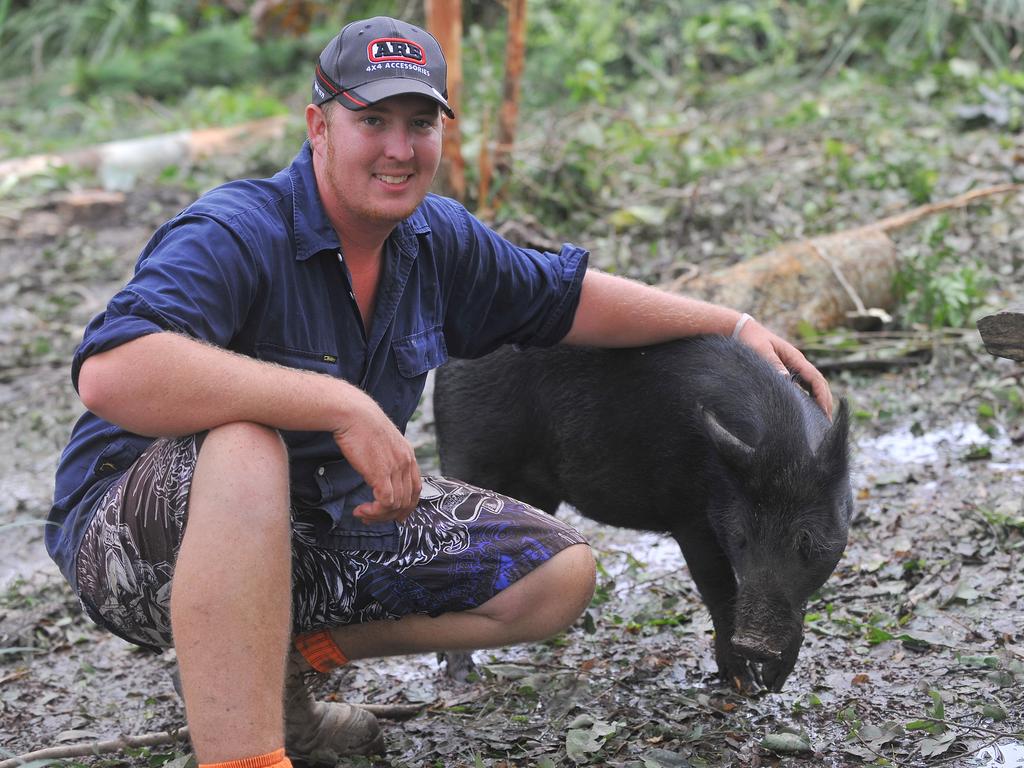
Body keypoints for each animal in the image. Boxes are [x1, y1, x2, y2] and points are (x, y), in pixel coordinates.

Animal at [436, 335, 851, 692]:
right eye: (740, 537)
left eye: (805, 541)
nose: (754, 643)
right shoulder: (689, 518)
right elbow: (717, 589)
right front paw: (744, 685)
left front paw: (773, 684)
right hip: (468, 456)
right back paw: (463, 676)